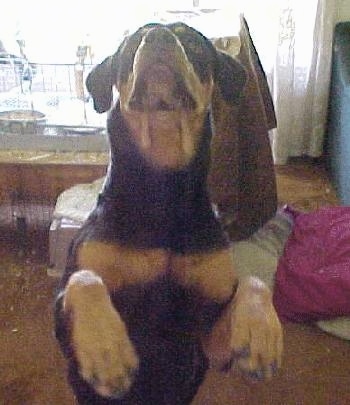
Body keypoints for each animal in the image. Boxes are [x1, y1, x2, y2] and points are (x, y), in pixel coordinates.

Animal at [55, 21, 284, 404]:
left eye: (192, 41)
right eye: (133, 43)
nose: (159, 37)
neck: (163, 189)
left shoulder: (207, 341)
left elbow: (253, 282)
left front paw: (261, 337)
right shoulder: (63, 325)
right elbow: (83, 280)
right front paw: (107, 351)